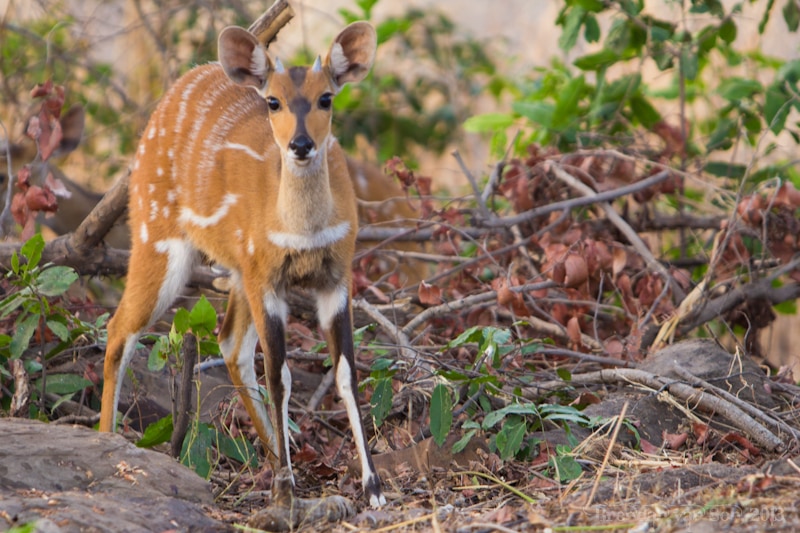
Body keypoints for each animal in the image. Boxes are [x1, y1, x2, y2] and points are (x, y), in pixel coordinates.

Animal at [98, 21, 386, 508]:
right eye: (273, 101)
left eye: (327, 97)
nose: (301, 145)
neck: (302, 229)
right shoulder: (266, 276)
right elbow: (280, 375)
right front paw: (287, 488)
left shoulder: (336, 275)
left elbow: (346, 372)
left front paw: (373, 486)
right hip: (159, 241)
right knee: (120, 327)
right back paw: (105, 441)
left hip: (235, 271)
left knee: (230, 343)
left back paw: (275, 457)